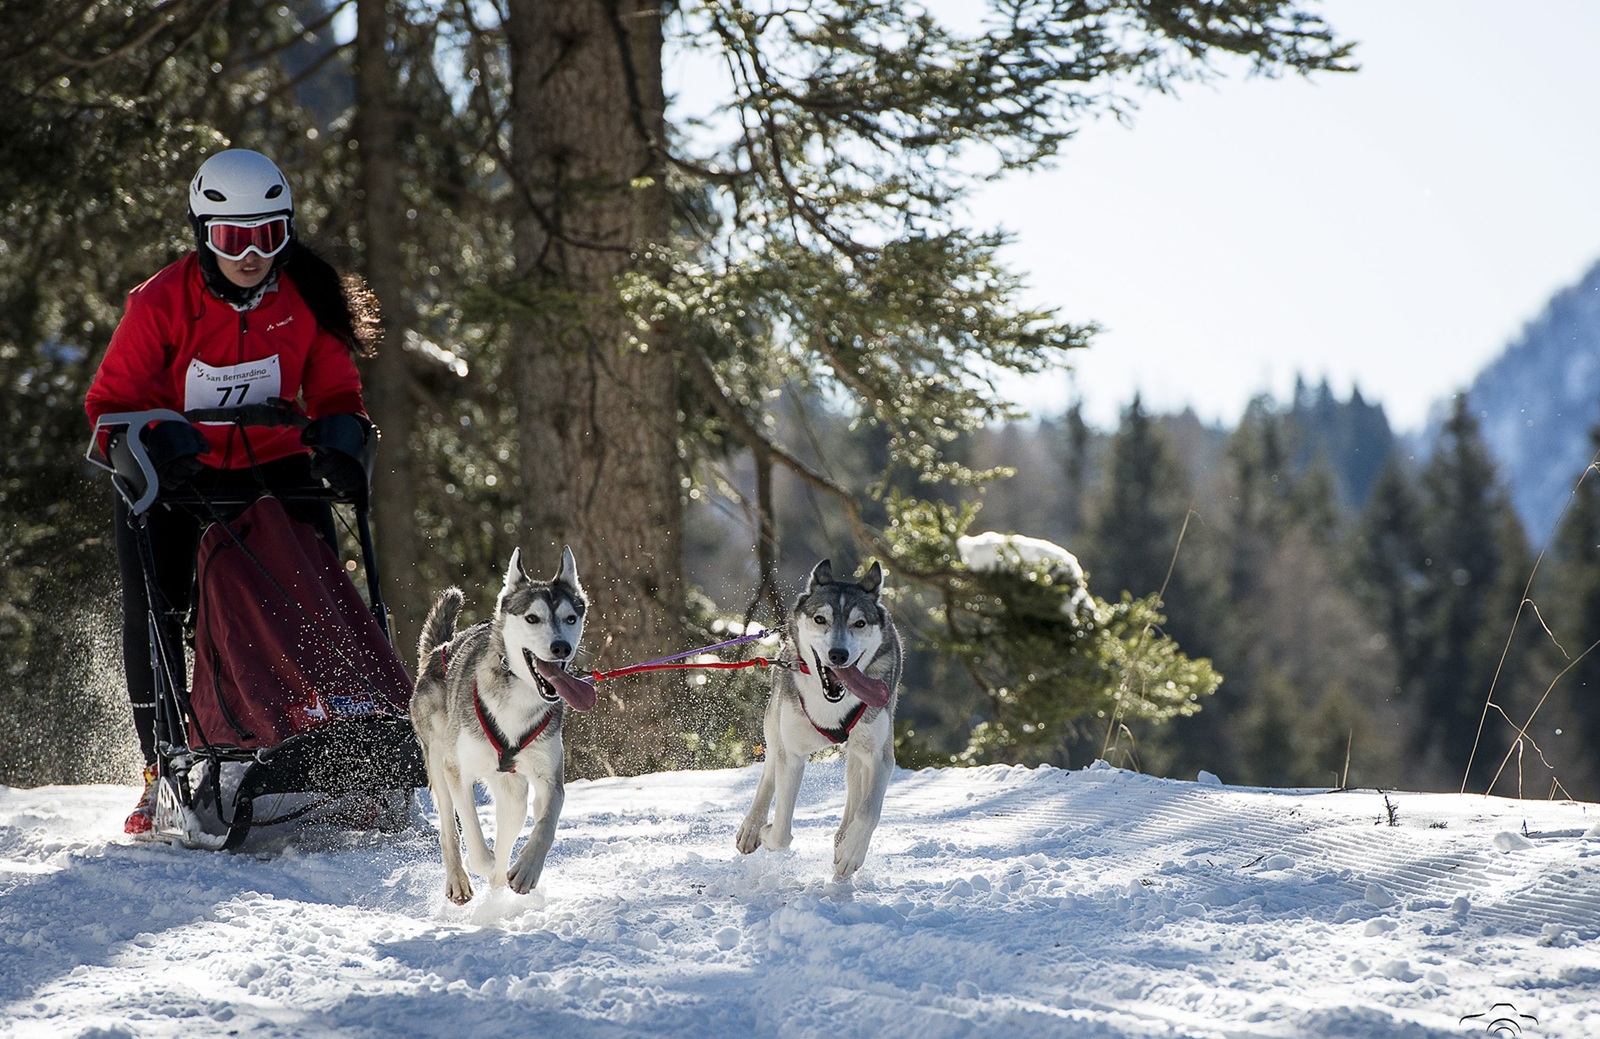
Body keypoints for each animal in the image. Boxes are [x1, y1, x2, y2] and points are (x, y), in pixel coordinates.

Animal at [409, 544, 598, 896]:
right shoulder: (457, 771)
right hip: (438, 762)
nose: (561, 647)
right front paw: (480, 863)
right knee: (449, 829)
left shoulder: (550, 778)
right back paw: (459, 877)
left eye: (571, 618)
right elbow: (473, 832)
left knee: (510, 826)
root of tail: (440, 650)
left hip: (513, 792)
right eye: (532, 618)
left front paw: (527, 866)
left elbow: (547, 824)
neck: (519, 700)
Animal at [736, 560, 902, 877]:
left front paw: (851, 851)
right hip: (775, 723)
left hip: (859, 753)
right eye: (820, 619)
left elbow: (868, 811)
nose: (838, 654)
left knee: (855, 793)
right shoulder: (792, 753)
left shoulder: (879, 755)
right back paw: (752, 827)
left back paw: (842, 841)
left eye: (860, 623)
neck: (831, 706)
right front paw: (765, 832)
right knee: (770, 767)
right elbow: (781, 833)